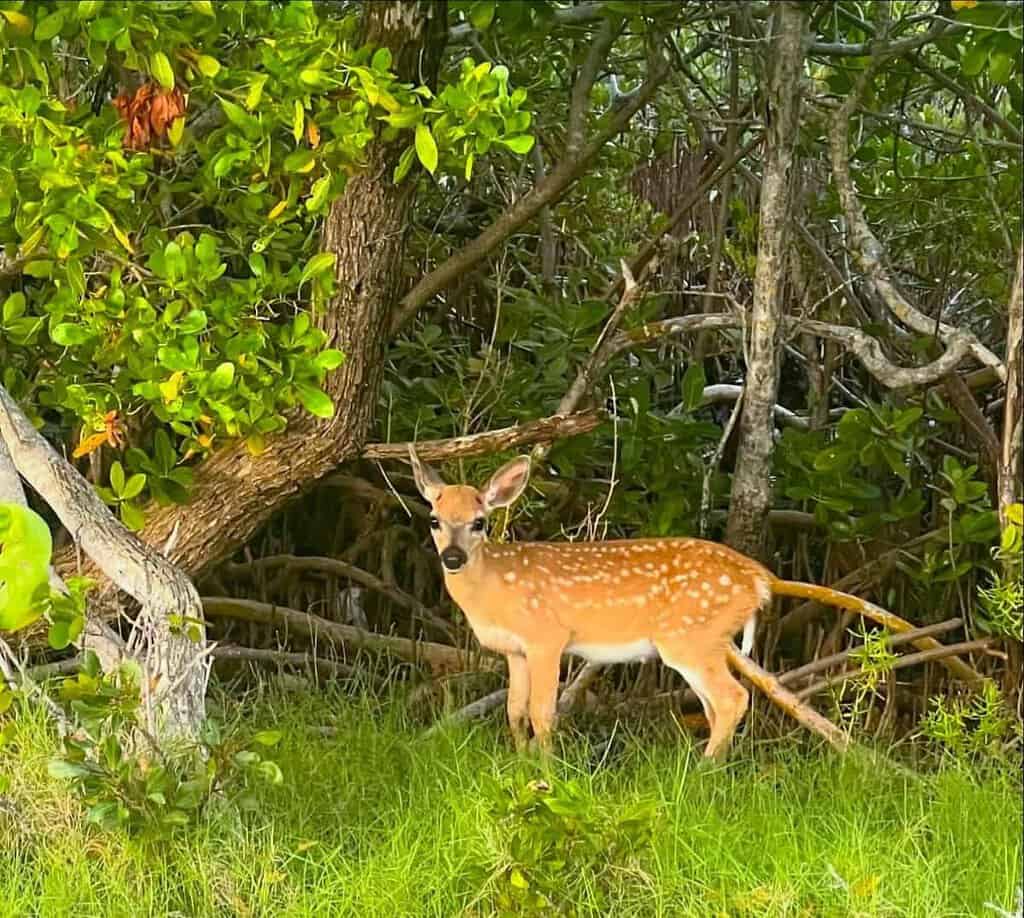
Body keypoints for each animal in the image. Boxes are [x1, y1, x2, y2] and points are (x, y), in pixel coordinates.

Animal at [408, 447, 916, 758]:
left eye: (479, 522)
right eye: (434, 519)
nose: (452, 558)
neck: (496, 587)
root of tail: (760, 579)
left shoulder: (547, 636)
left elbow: (543, 713)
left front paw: (545, 773)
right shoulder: (514, 650)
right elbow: (514, 711)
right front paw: (521, 765)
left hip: (687, 636)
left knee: (732, 698)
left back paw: (703, 774)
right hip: (709, 640)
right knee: (716, 705)